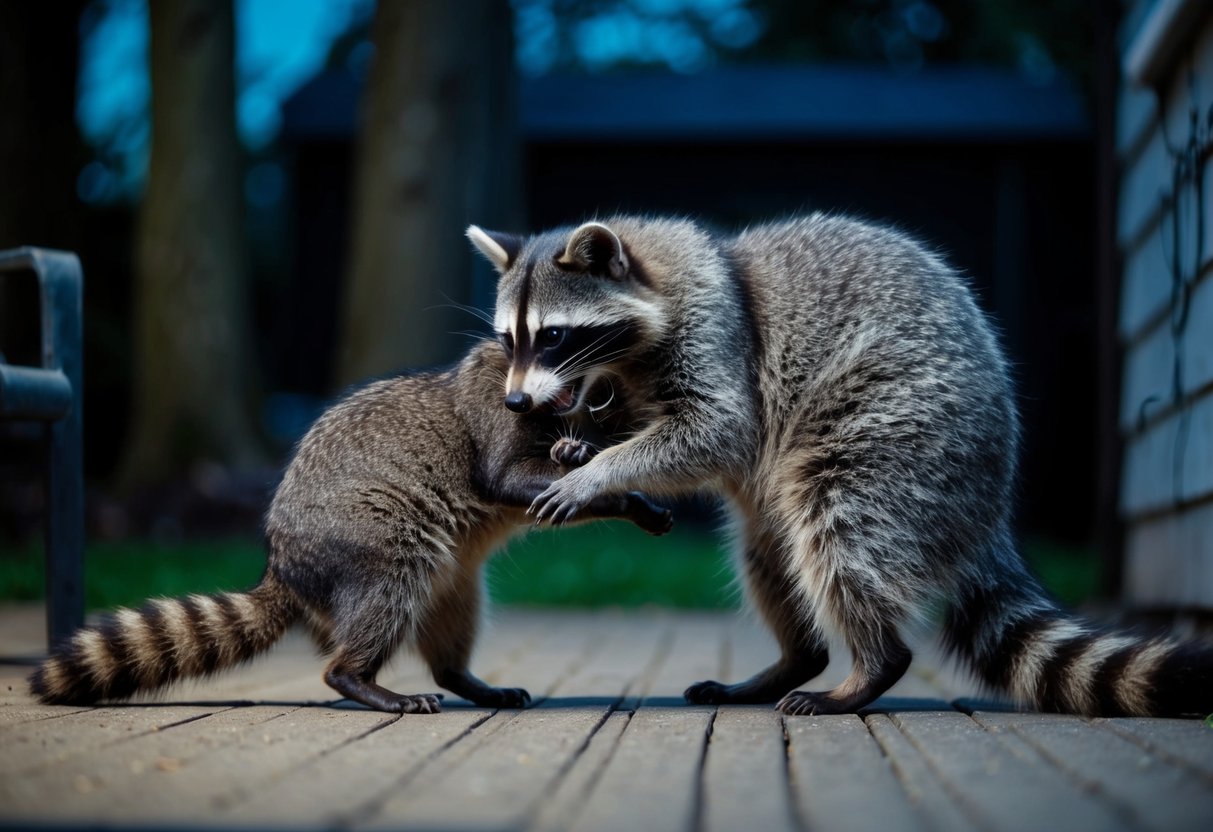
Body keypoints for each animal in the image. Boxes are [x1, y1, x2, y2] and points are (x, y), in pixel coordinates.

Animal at [30, 341, 671, 713]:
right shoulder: (495, 409)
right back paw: (358, 676)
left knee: (454, 614)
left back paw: (461, 676)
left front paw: (603, 475)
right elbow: (504, 477)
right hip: (368, 535)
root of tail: (282, 565)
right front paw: (615, 490)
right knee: (386, 592)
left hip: (453, 575)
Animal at [467, 215, 1213, 718]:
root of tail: (990, 502)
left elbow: (716, 433)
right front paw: (584, 445)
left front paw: (601, 469)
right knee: (769, 556)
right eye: (510, 338)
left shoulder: (715, 336)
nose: (516, 400)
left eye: (553, 336)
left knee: (839, 534)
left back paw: (868, 670)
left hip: (902, 436)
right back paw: (796, 660)